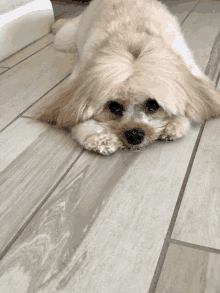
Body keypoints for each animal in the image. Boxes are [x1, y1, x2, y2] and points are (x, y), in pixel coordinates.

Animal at [38, 0, 220, 155]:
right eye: (114, 106)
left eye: (153, 105)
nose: (134, 135)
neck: (133, 41)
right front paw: (101, 138)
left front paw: (174, 124)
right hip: (66, 39)